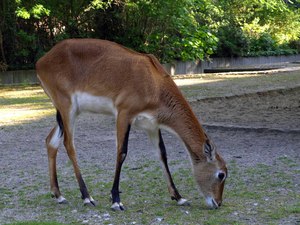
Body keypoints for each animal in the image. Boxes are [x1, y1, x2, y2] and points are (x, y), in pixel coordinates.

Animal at [35, 39, 227, 211]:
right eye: (221, 174)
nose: (218, 203)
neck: (154, 83)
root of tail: (41, 61)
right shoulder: (123, 114)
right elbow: (122, 152)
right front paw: (116, 201)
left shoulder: (152, 126)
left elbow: (162, 154)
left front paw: (179, 197)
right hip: (67, 107)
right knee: (69, 144)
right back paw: (87, 197)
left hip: (68, 112)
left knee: (51, 141)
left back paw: (58, 195)